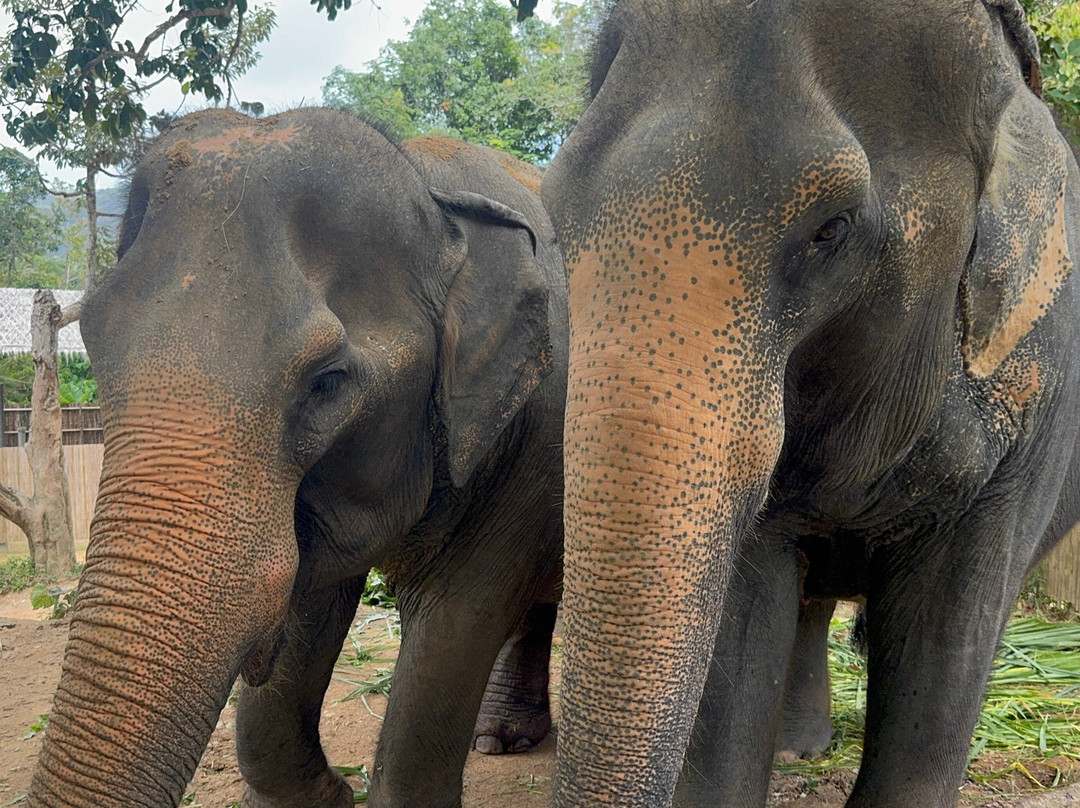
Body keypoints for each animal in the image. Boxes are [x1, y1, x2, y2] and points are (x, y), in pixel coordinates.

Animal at [28, 107, 567, 808]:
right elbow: (311, 606)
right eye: (91, 342)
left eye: (327, 382)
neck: (432, 193)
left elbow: (455, 617)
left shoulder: (528, 443)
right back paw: (498, 739)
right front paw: (329, 794)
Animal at [543, 1, 1080, 807]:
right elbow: (744, 626)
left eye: (832, 229)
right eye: (557, 216)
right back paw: (799, 749)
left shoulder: (1037, 411)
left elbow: (949, 641)